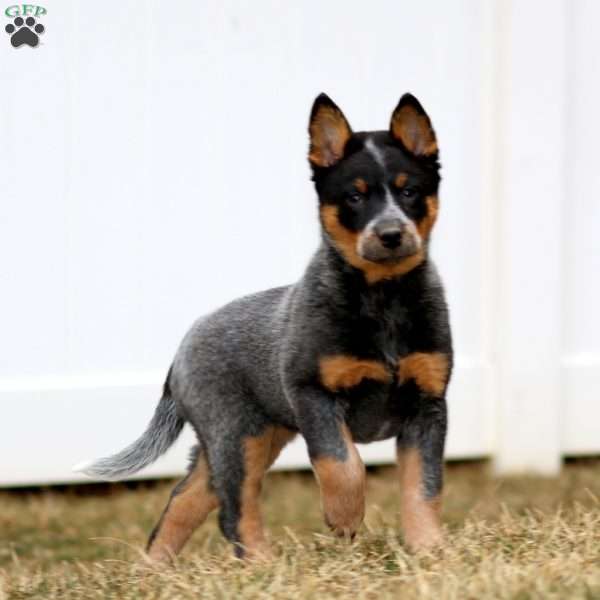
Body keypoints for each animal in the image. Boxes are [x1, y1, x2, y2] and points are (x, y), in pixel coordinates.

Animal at [76, 92, 450, 564]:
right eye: (354, 196)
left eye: (410, 191)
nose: (390, 233)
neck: (383, 298)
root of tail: (180, 350)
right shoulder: (312, 394)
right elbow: (343, 465)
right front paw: (344, 519)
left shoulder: (428, 403)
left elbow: (424, 485)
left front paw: (429, 548)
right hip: (238, 436)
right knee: (232, 509)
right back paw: (260, 564)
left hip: (244, 438)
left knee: (185, 498)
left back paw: (154, 570)